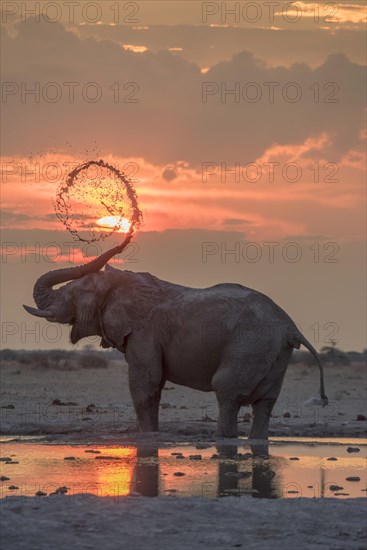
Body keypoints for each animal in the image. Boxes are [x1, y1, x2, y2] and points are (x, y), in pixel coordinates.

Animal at [23, 246, 328, 440]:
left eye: (74, 294)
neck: (122, 283)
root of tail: (290, 327)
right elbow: (154, 386)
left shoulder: (144, 332)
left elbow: (144, 384)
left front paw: (146, 436)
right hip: (275, 354)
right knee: (265, 403)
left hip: (249, 346)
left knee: (227, 392)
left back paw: (222, 440)